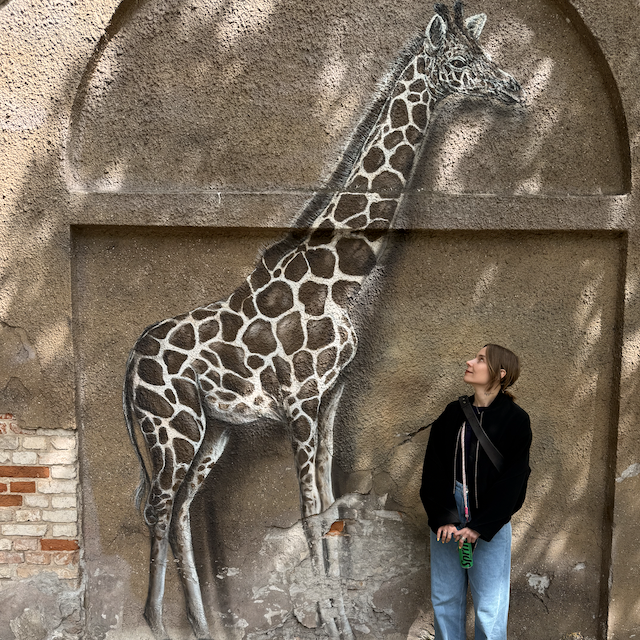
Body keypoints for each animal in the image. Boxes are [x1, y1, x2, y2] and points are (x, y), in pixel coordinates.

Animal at [123, 3, 523, 639]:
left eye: (483, 51)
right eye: (462, 59)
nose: (513, 87)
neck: (334, 283)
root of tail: (130, 361)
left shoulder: (330, 400)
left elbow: (333, 513)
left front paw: (344, 623)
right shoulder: (300, 403)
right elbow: (309, 518)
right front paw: (327, 623)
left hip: (212, 429)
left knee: (182, 509)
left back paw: (204, 626)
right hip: (170, 429)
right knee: (158, 511)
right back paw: (156, 624)